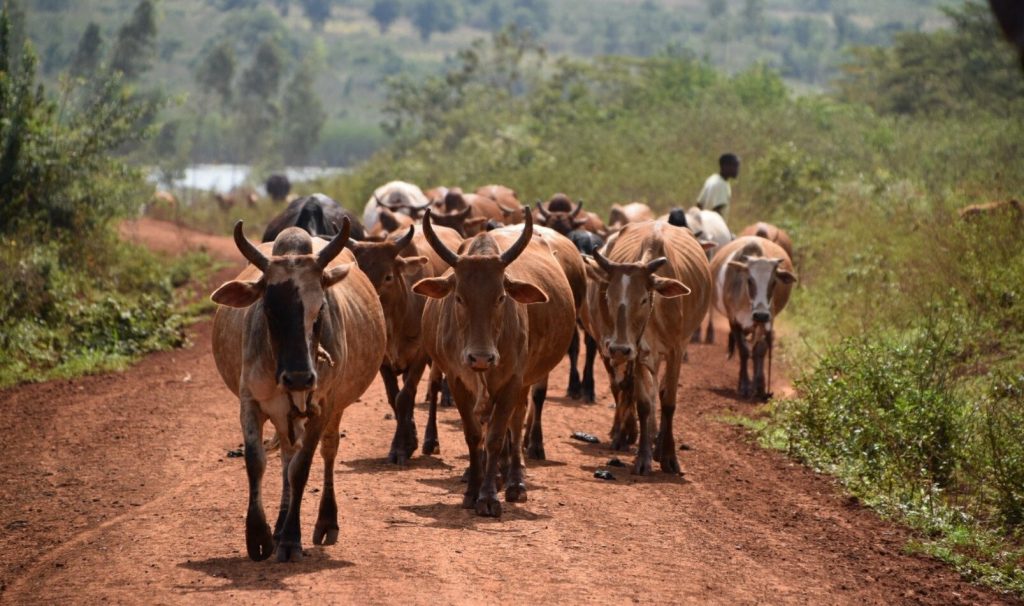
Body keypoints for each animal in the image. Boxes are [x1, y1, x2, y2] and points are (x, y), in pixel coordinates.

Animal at [211, 218, 386, 562]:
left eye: (320, 310)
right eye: (268, 309)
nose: (299, 378)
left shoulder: (323, 406)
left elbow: (301, 468)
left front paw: (291, 540)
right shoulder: (250, 402)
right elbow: (257, 462)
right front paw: (260, 536)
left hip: (332, 409)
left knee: (326, 451)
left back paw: (325, 522)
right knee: (285, 459)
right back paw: (278, 527)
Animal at [345, 223, 464, 464]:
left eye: (388, 276)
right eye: (361, 274)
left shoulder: (420, 355)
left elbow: (405, 397)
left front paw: (400, 448)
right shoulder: (384, 361)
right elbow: (394, 398)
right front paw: (407, 442)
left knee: (434, 387)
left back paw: (430, 440)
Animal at [414, 212, 576, 516]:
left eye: (501, 297)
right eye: (459, 297)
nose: (480, 357)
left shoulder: (512, 381)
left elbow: (497, 436)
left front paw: (489, 496)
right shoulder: (457, 381)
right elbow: (474, 436)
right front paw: (472, 491)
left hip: (523, 381)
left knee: (517, 420)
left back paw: (514, 482)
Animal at [584, 221, 711, 474]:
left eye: (643, 299)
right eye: (609, 297)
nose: (619, 349)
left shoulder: (675, 351)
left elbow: (668, 400)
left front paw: (669, 457)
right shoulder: (639, 353)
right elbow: (644, 402)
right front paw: (643, 457)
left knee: (659, 392)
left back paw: (659, 445)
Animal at [710, 236, 797, 401]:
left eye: (773, 282)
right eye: (750, 280)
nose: (760, 314)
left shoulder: (768, 321)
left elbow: (760, 350)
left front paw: (760, 386)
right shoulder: (734, 321)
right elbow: (744, 351)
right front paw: (744, 386)